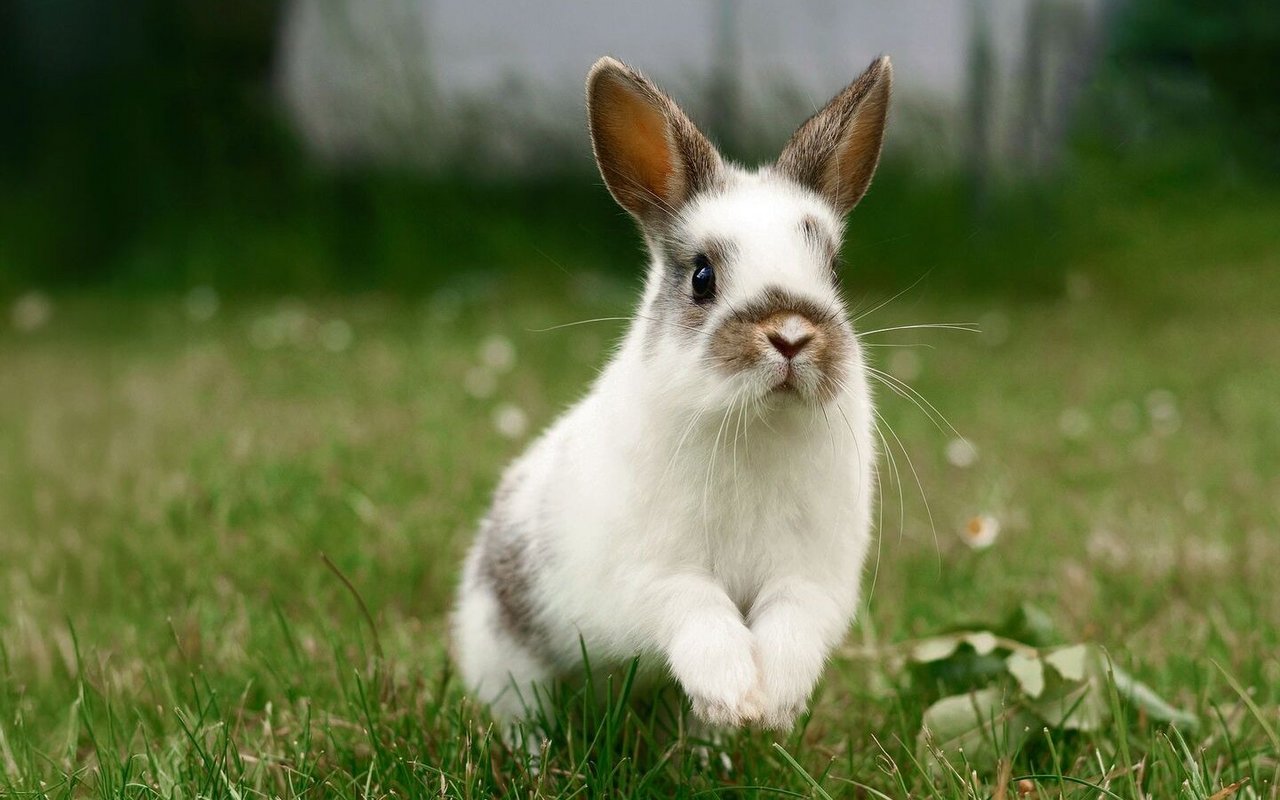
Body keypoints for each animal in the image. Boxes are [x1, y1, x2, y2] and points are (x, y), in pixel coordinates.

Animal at [452, 54, 891, 733]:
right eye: (702, 276)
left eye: (835, 272)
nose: (791, 335)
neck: (756, 426)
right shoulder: (649, 575)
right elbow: (696, 608)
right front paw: (733, 693)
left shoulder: (809, 577)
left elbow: (790, 624)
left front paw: (771, 704)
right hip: (505, 658)